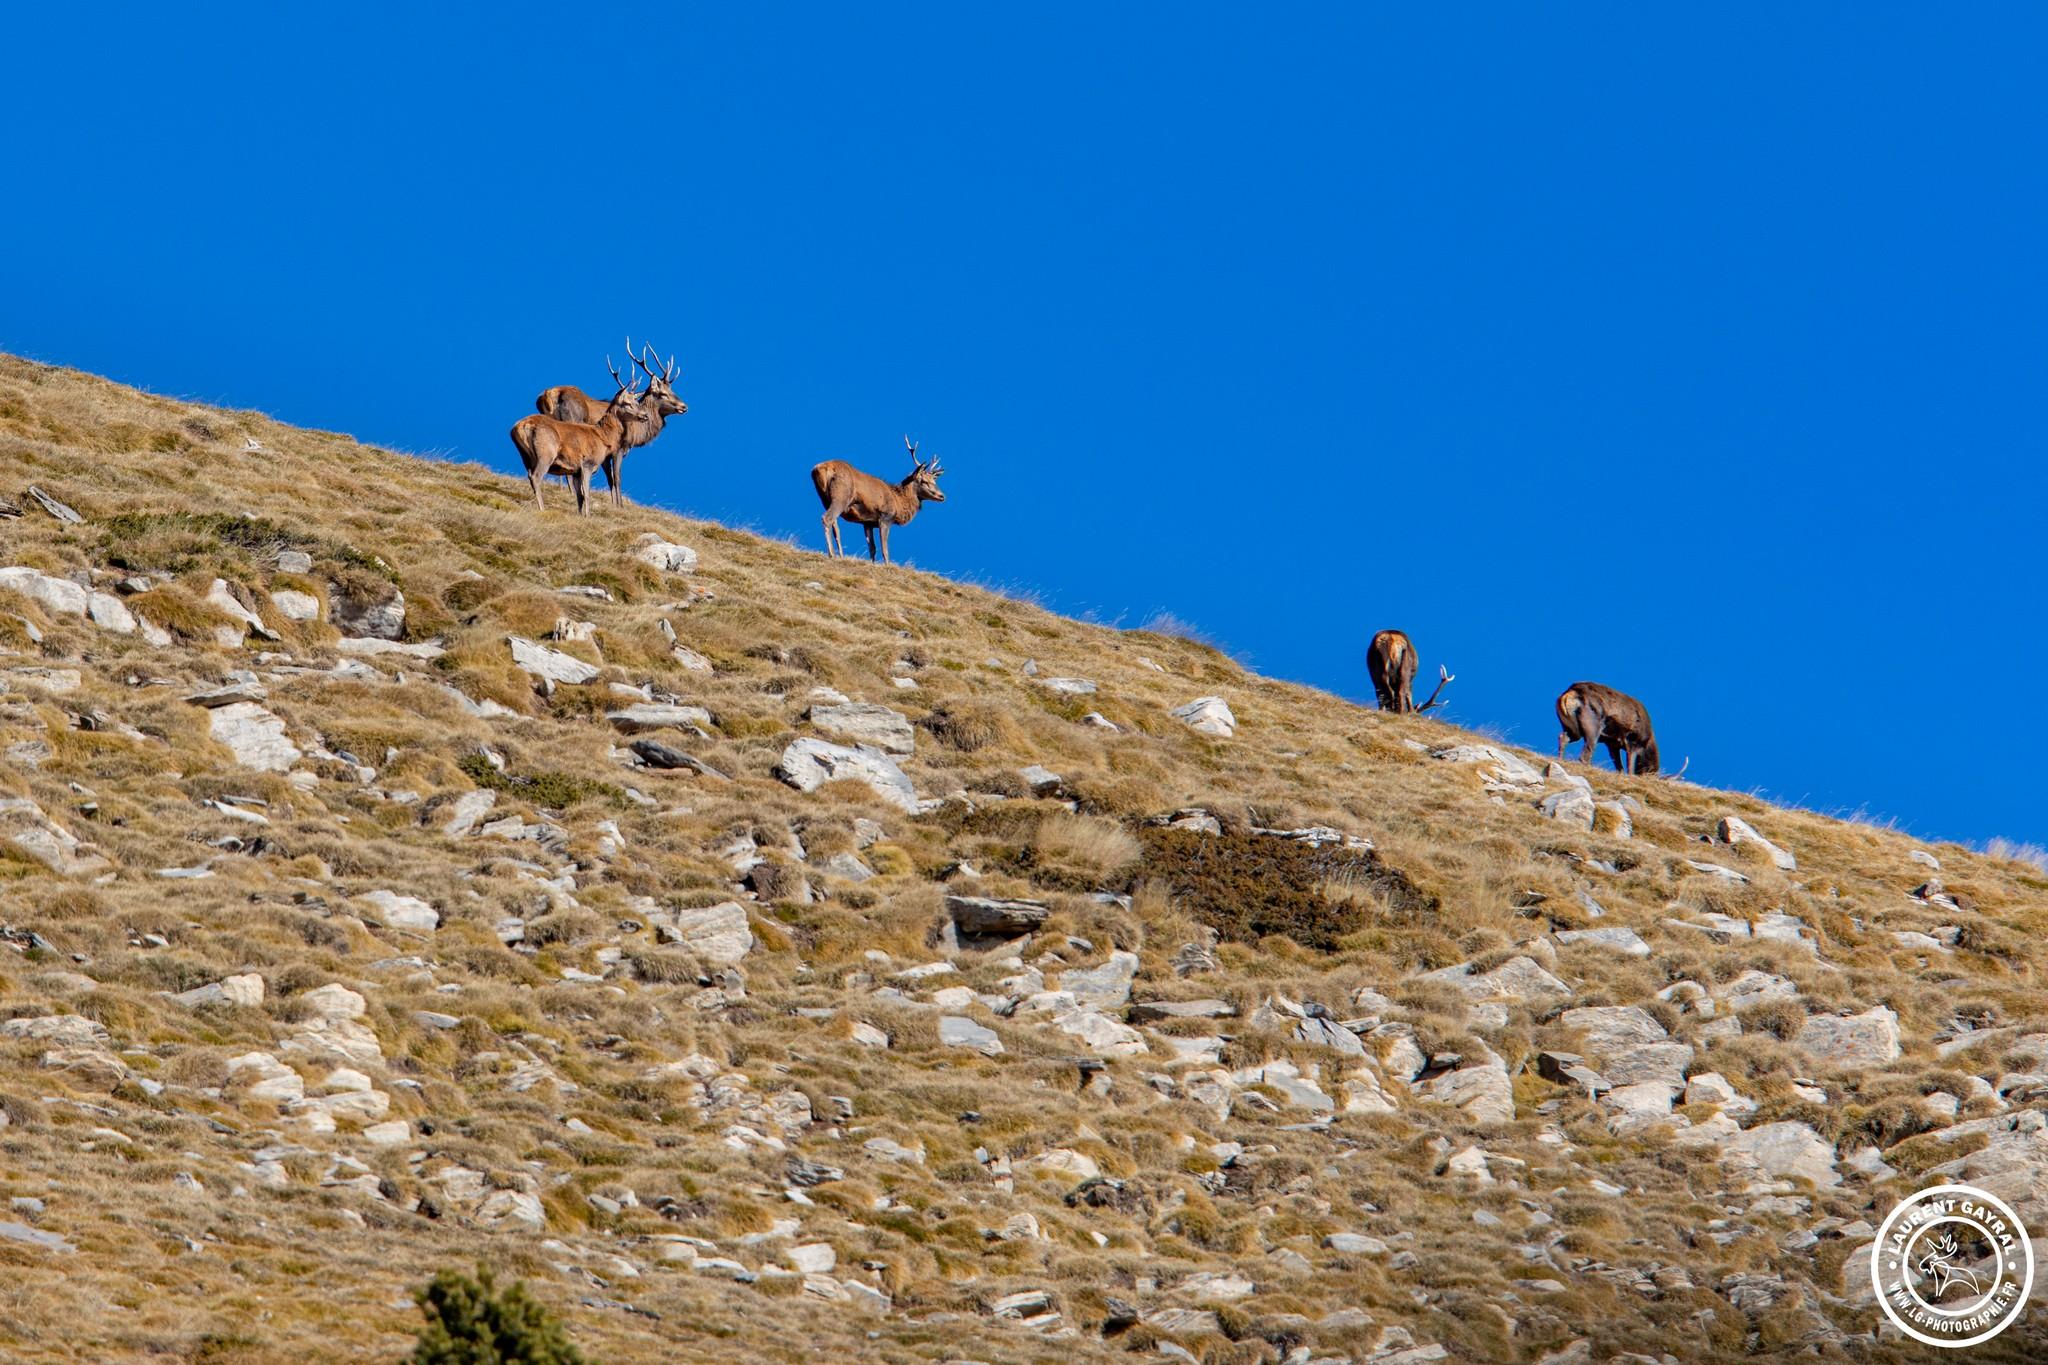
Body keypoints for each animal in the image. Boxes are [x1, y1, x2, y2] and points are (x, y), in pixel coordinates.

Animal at [507, 360, 643, 515]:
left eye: (636, 402)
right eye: (627, 403)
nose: (644, 415)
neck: (603, 436)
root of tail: (521, 426)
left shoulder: (576, 470)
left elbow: (580, 497)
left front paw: (581, 515)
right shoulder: (587, 464)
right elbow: (587, 495)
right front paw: (588, 516)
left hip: (525, 456)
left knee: (530, 475)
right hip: (546, 453)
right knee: (535, 477)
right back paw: (542, 509)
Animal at [811, 439, 946, 564]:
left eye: (934, 481)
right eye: (924, 481)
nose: (942, 496)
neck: (898, 502)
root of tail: (820, 468)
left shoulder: (867, 522)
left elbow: (872, 548)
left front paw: (873, 564)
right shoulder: (885, 517)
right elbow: (885, 549)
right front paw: (887, 566)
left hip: (825, 499)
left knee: (836, 527)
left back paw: (841, 555)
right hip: (841, 496)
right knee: (827, 518)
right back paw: (832, 554)